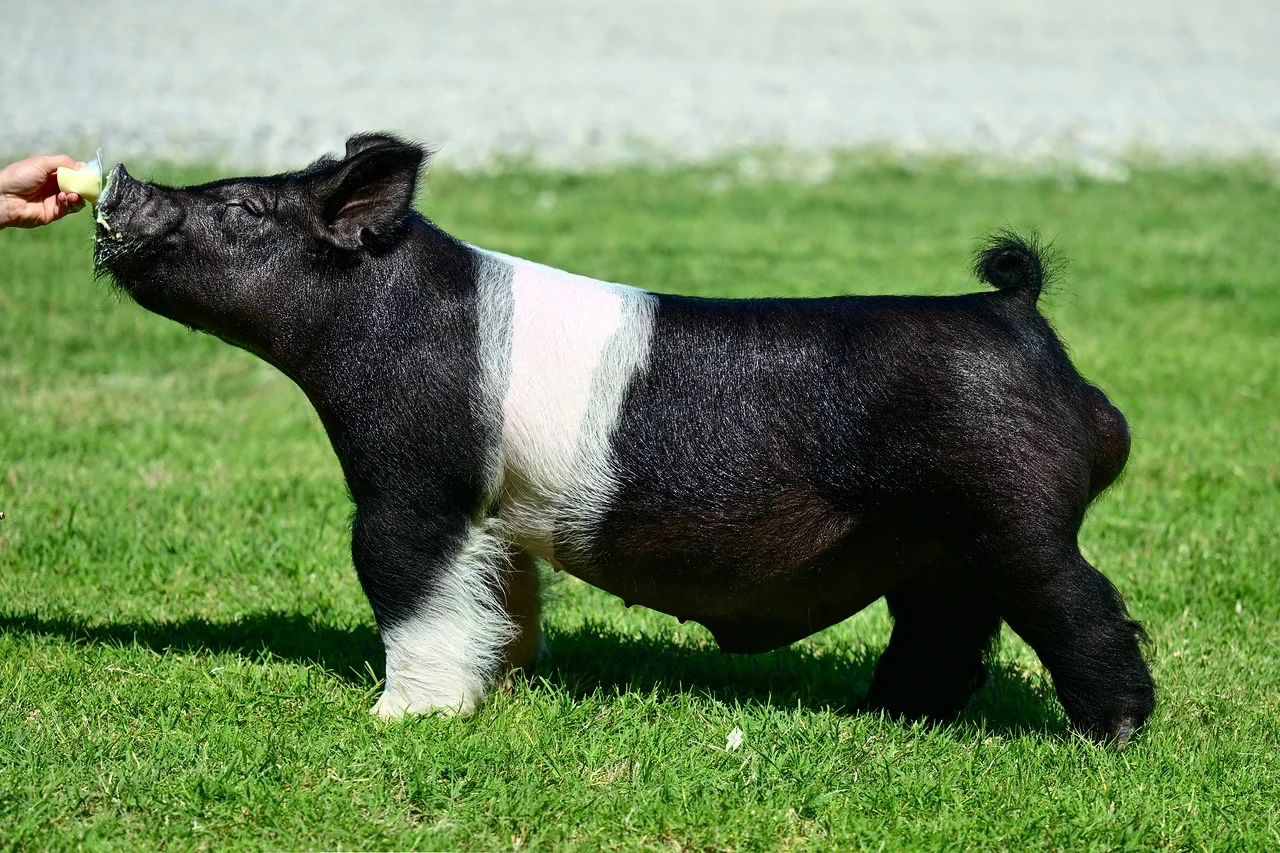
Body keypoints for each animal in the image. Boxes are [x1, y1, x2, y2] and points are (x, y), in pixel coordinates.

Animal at [92, 133, 1155, 744]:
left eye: (243, 208)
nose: (119, 180)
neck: (375, 317)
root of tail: (1017, 313)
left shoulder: (412, 484)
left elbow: (406, 587)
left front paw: (400, 717)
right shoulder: (491, 511)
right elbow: (500, 597)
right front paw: (503, 681)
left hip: (1017, 513)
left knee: (1085, 608)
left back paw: (1109, 739)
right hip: (940, 544)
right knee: (942, 629)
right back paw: (882, 718)